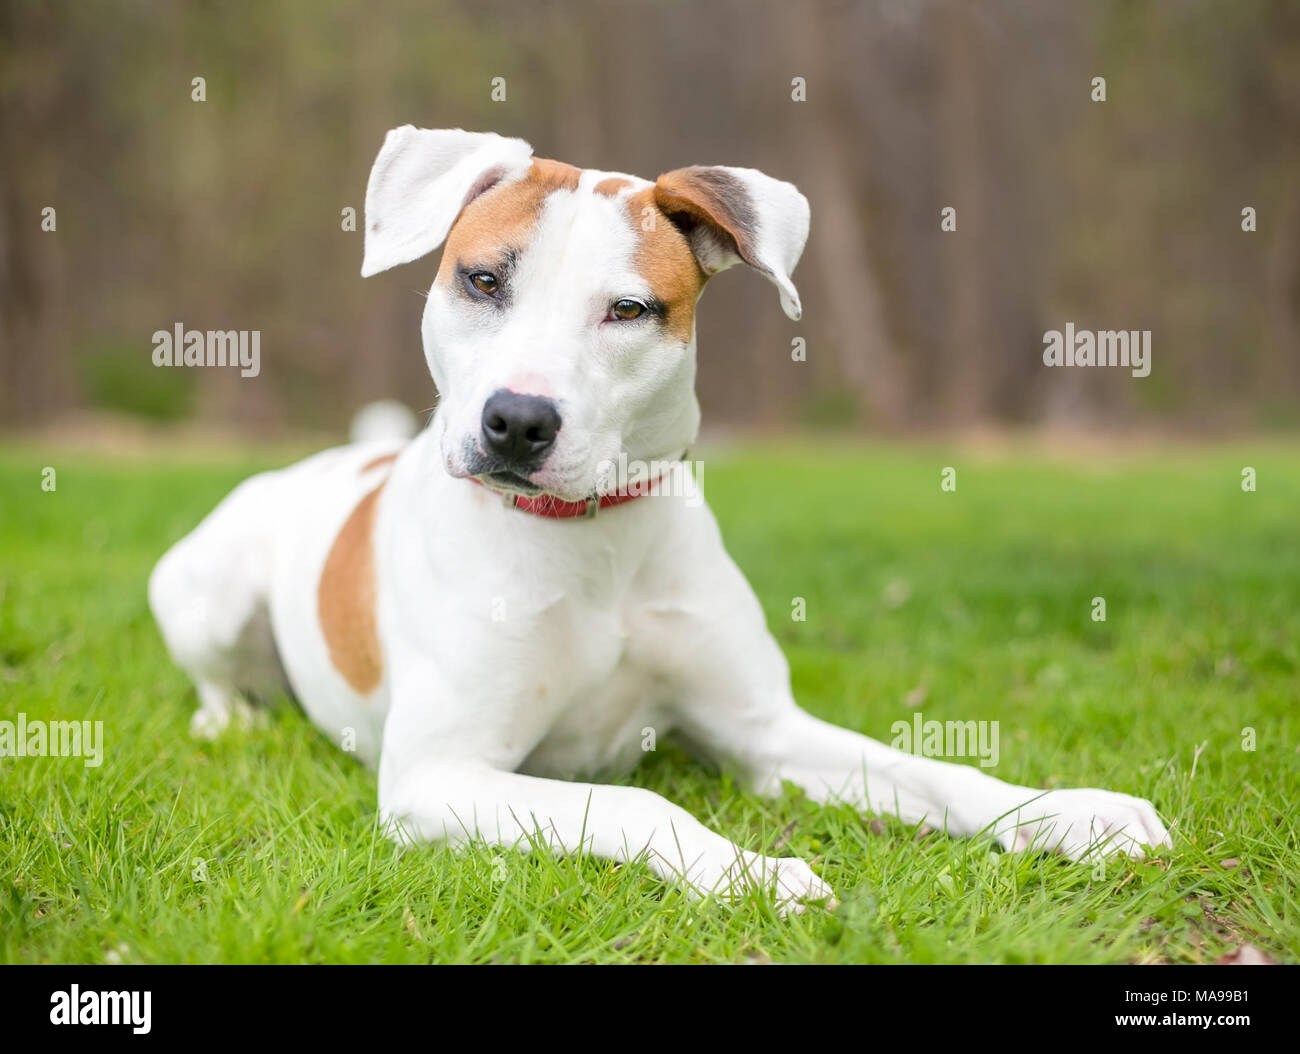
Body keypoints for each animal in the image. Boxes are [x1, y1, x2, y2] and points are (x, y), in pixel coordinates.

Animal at [147, 125, 1175, 914]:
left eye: (630, 310)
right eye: (483, 282)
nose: (517, 421)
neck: (589, 535)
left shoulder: (766, 734)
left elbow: (932, 770)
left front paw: (1067, 812)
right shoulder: (438, 776)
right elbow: (637, 806)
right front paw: (757, 872)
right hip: (204, 589)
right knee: (218, 678)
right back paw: (227, 724)